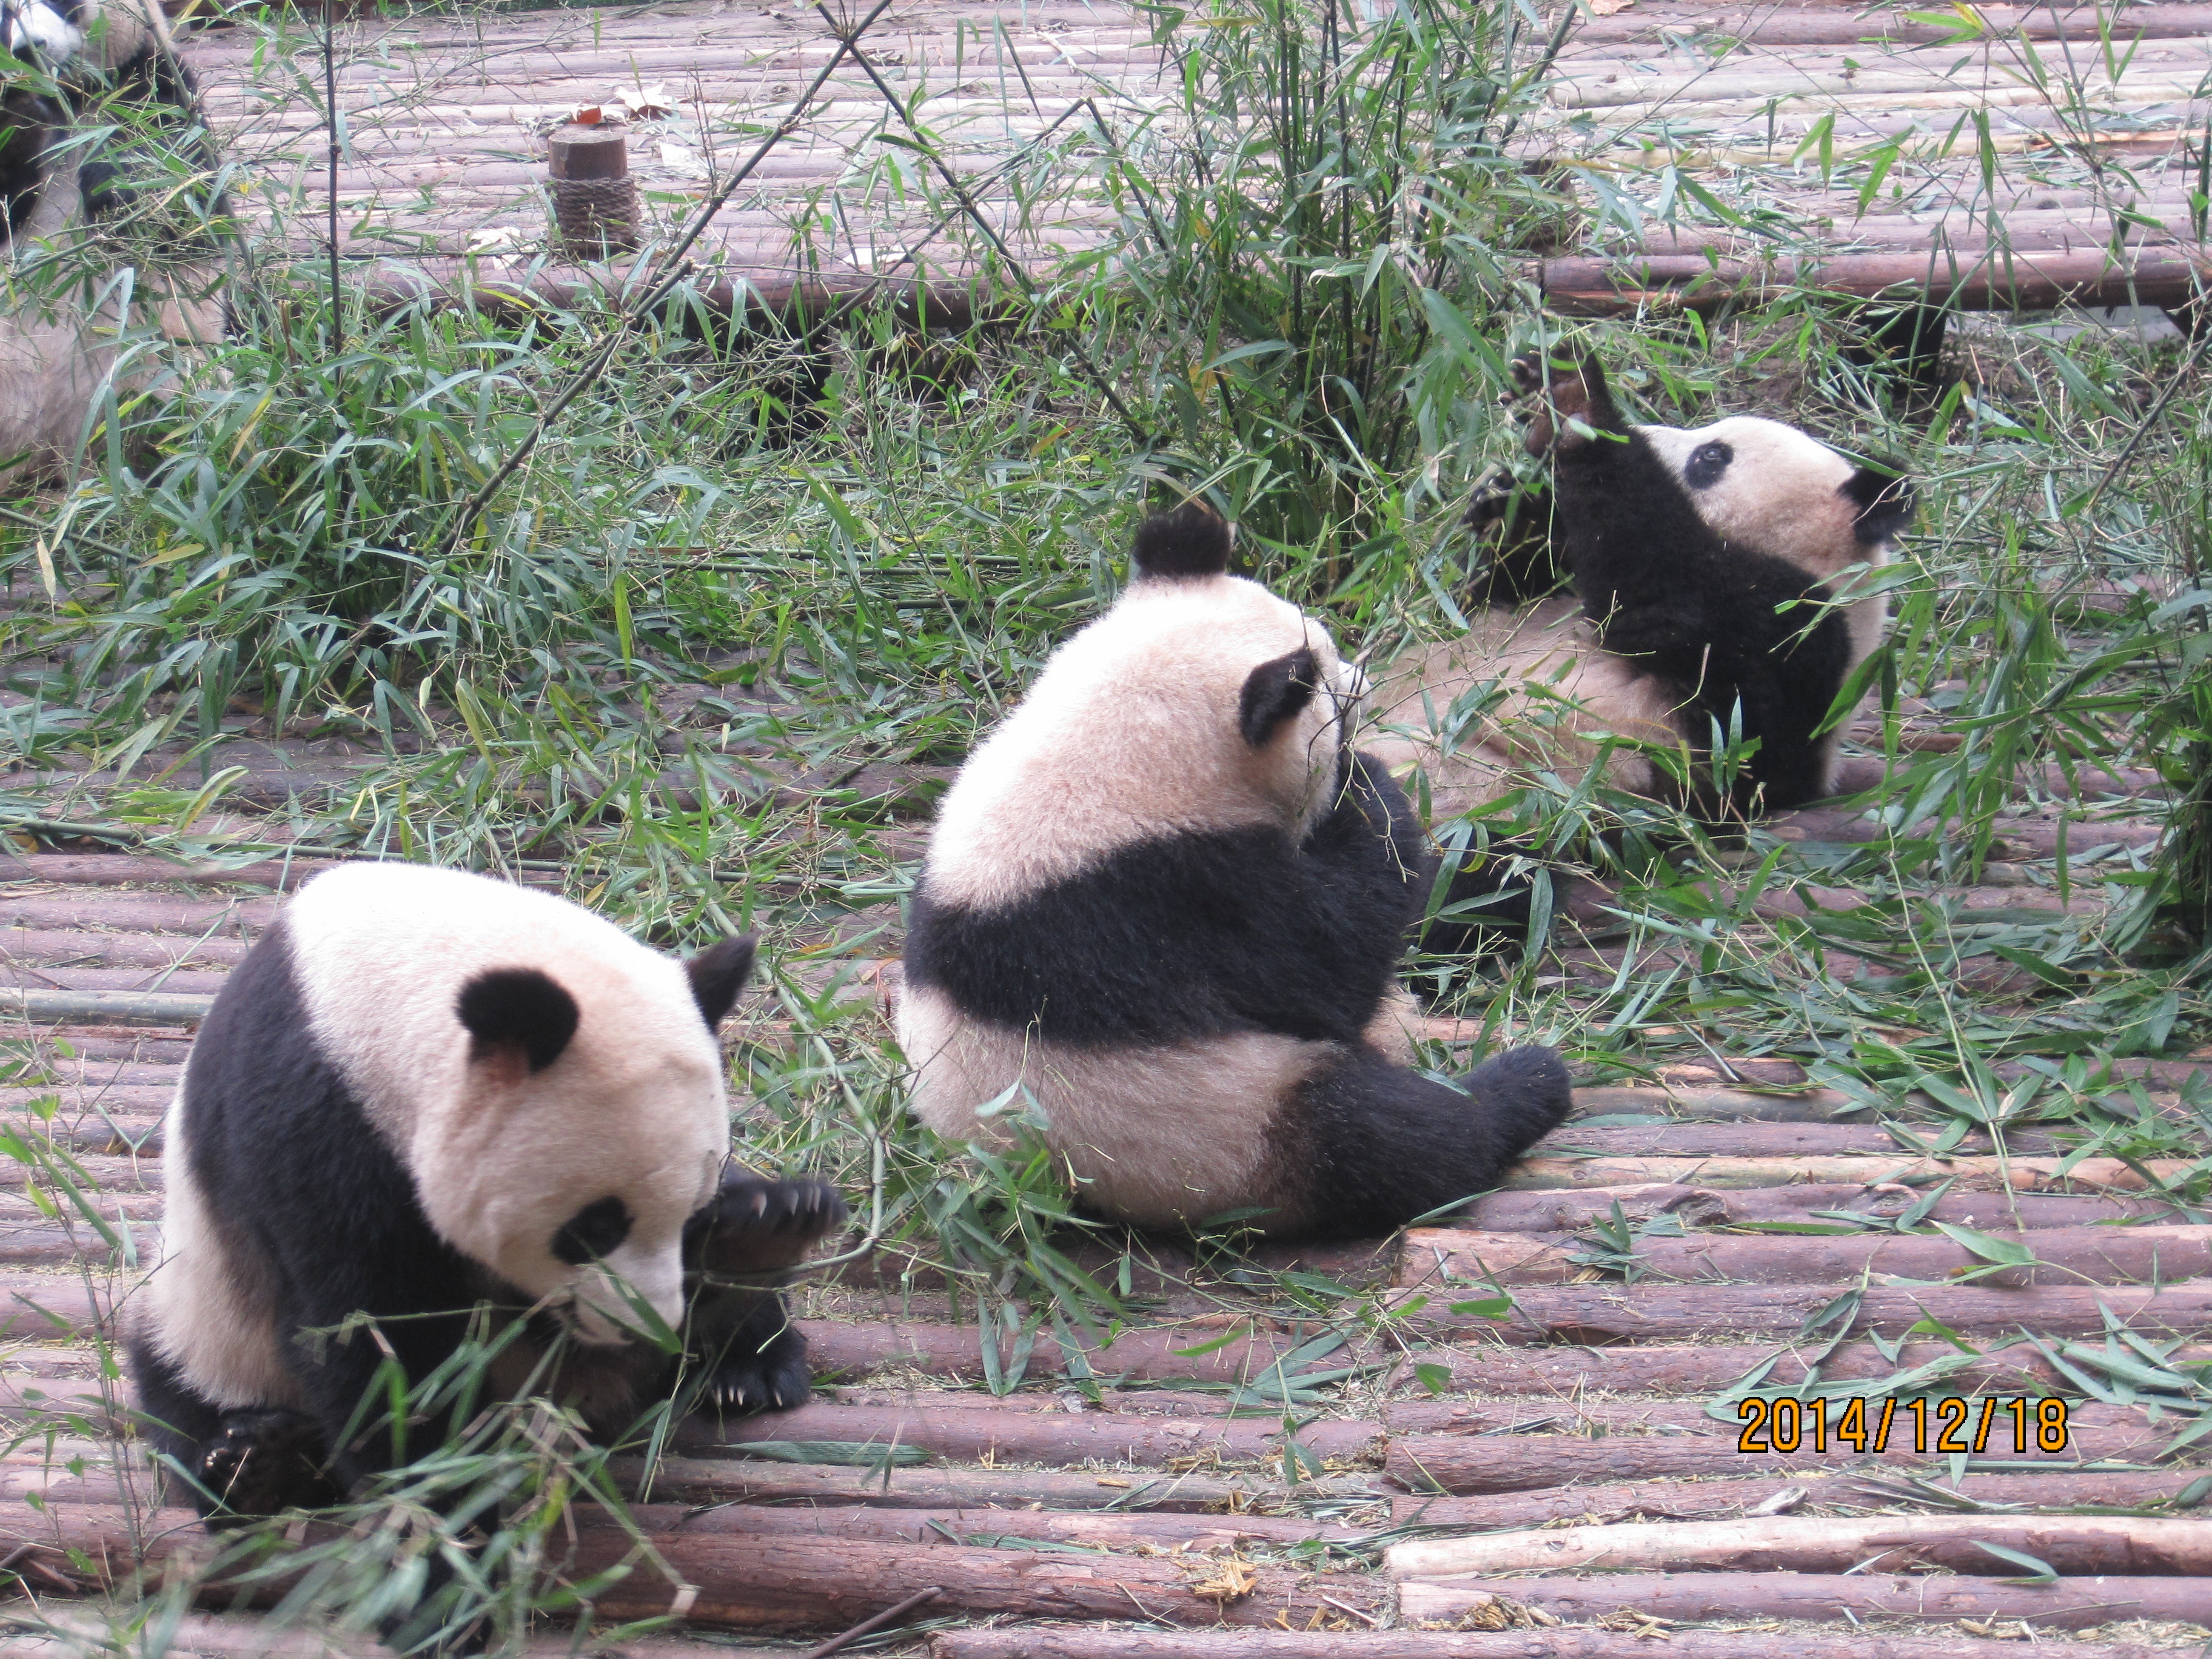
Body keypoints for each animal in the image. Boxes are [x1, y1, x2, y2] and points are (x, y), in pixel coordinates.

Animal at [126, 862, 845, 1530]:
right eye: (594, 1228)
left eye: (691, 1213)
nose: (649, 1324)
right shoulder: (311, 1127)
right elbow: (374, 1340)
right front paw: (443, 1521)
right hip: (203, 1317)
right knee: (184, 1402)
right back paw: (259, 1467)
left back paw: (752, 1309)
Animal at [889, 506, 1583, 1247]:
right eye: (1329, 695)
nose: (1364, 682)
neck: (1108, 760)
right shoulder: (1177, 897)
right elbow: (1328, 966)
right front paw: (1369, 787)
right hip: (1232, 1121)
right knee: (1389, 1136)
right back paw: (1526, 1085)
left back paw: (1514, 887)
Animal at [1362, 352, 1920, 929]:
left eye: (1711, 456)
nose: (1647, 430)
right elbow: (1492, 593)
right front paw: (1512, 496)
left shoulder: (1789, 640)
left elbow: (1651, 584)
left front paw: (1574, 407)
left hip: (1504, 809)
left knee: (1462, 877)